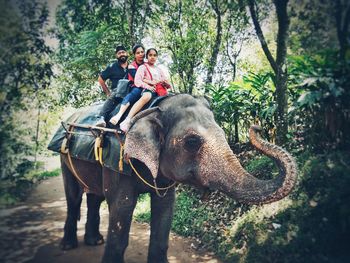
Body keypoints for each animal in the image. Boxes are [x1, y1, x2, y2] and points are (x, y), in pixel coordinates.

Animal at [58, 94, 298, 263]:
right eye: (192, 142)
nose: (258, 126)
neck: (153, 108)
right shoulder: (118, 162)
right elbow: (121, 207)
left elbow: (164, 209)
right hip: (64, 159)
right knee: (73, 197)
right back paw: (69, 245)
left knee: (94, 196)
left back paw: (95, 240)